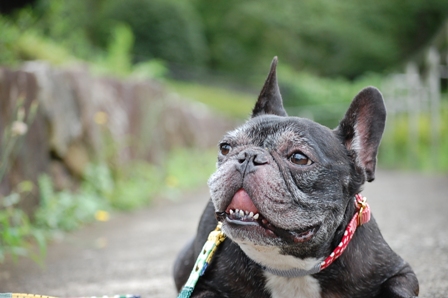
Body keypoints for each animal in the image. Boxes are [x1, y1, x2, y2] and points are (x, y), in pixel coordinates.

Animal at [173, 57, 418, 296]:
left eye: (299, 158)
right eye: (225, 147)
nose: (249, 156)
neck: (289, 267)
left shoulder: (400, 272)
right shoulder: (203, 286)